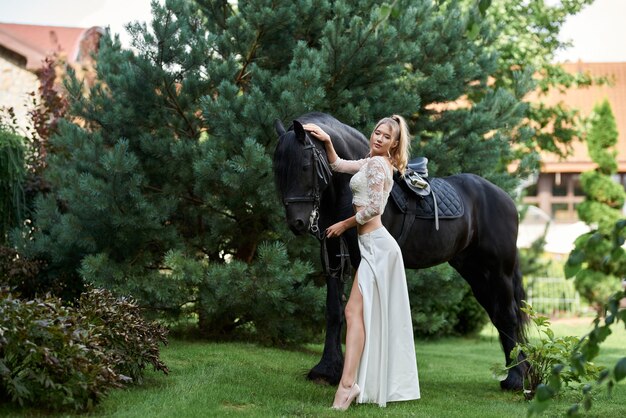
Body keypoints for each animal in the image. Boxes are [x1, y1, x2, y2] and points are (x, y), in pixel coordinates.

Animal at [270, 112, 524, 390]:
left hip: (498, 272)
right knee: (499, 316)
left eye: (305, 165)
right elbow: (334, 310)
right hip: (476, 274)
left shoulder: (361, 260)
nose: (297, 223)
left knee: (509, 316)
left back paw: (516, 379)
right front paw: (326, 370)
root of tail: (506, 199)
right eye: (278, 170)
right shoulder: (334, 258)